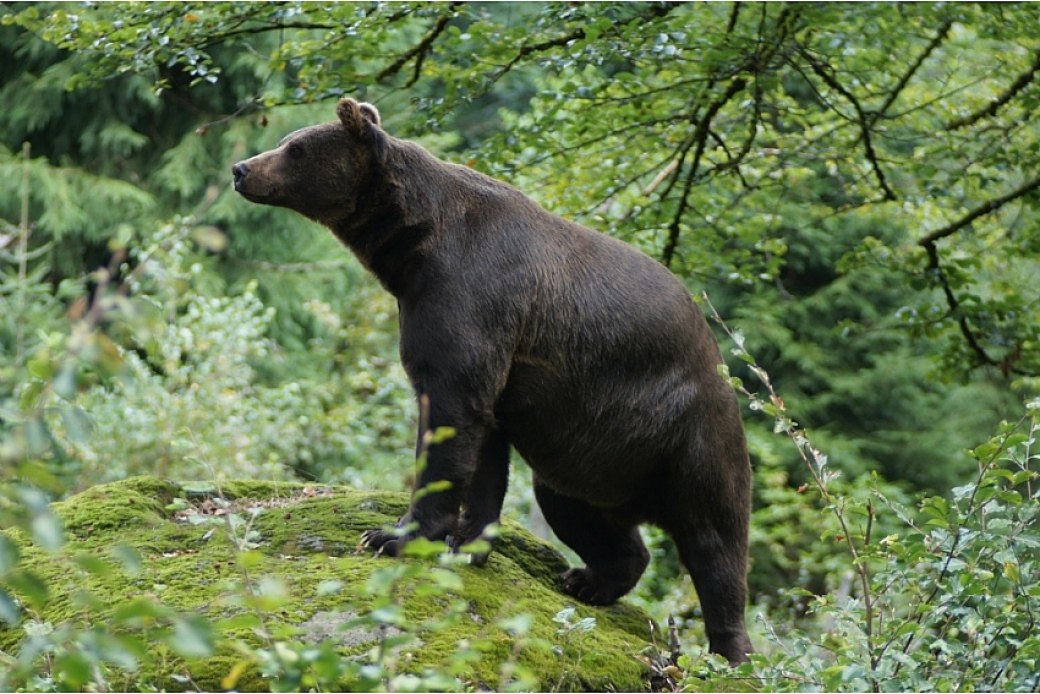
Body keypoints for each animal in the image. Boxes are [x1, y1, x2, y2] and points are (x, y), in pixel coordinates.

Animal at [235, 97, 752, 665]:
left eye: (296, 148)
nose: (241, 169)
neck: (412, 248)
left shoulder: (470, 301)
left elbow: (450, 422)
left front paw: (393, 535)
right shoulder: (476, 349)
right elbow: (484, 452)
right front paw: (467, 544)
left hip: (689, 435)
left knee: (714, 542)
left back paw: (730, 651)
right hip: (590, 450)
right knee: (577, 510)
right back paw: (589, 579)